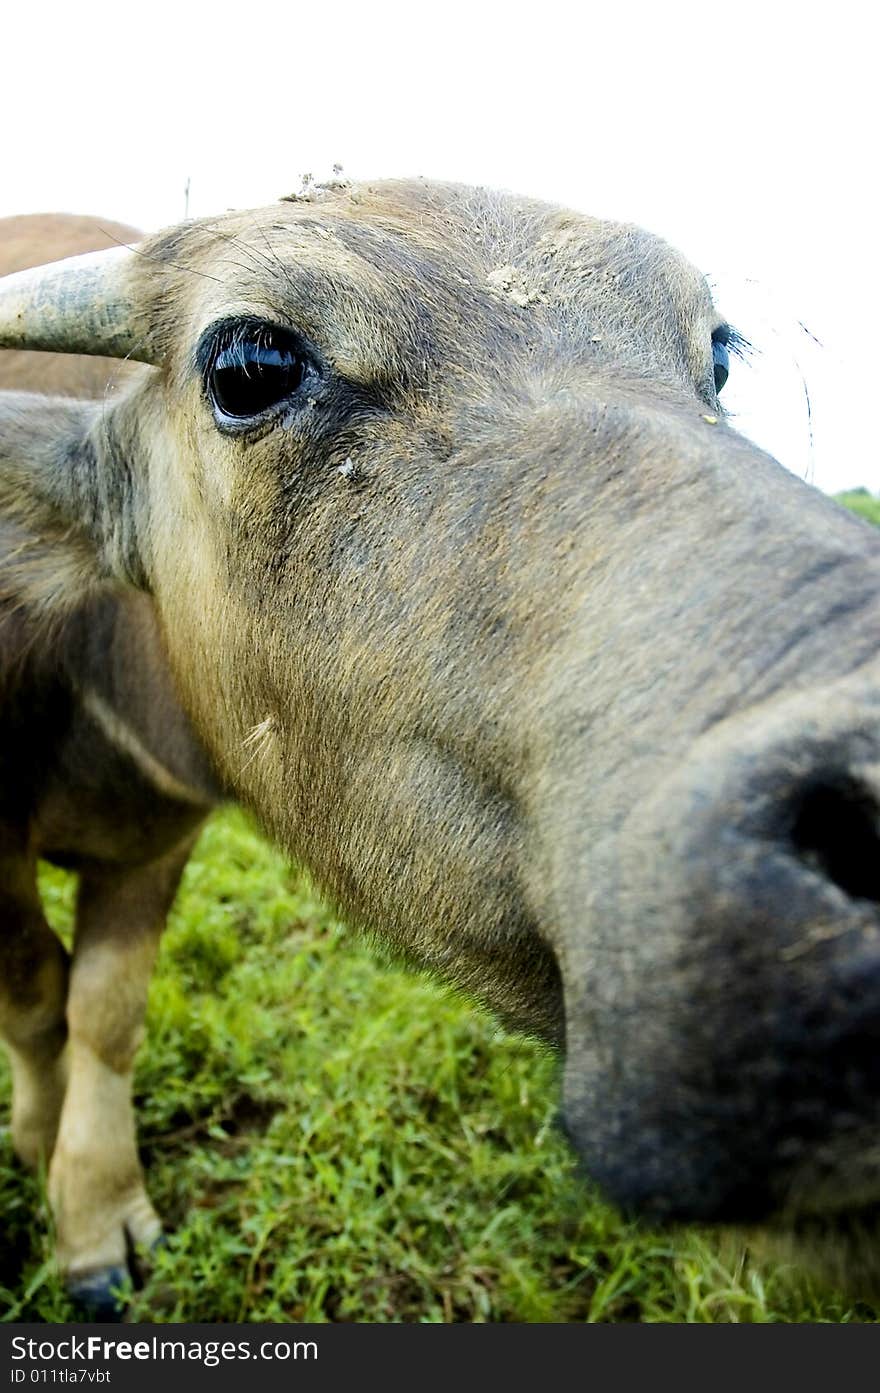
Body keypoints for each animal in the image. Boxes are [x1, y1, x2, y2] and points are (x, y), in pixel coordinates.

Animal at [0, 182, 874, 1303]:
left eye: (716, 357)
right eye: (250, 366)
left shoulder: (162, 837)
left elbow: (104, 1010)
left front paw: (95, 1197)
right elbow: (37, 994)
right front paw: (57, 1175)